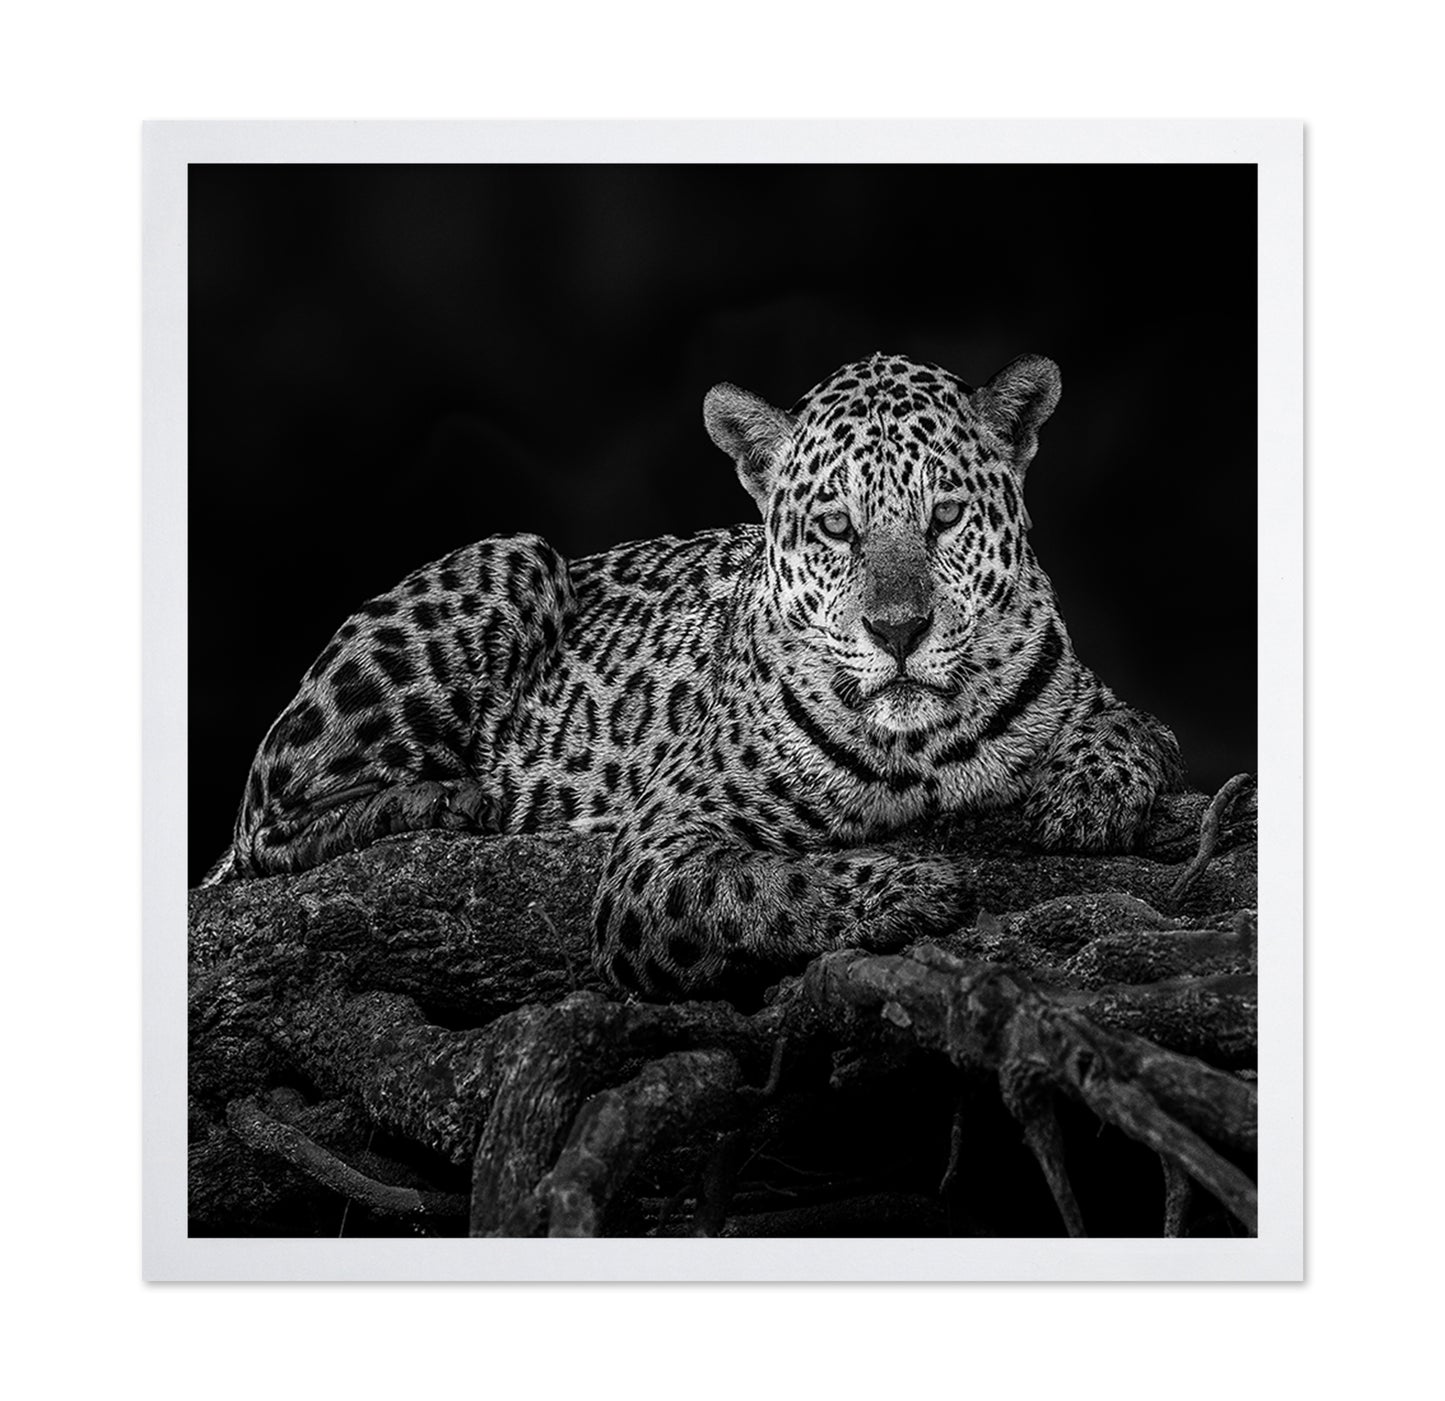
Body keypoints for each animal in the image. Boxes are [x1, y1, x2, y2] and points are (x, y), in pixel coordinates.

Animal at [203, 351, 1183, 1000]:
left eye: (943, 516)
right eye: (836, 527)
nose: (898, 630)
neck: (922, 745)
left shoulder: (1096, 696)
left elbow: (1136, 726)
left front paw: (1086, 794)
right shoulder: (655, 851)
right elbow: (764, 887)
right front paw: (908, 885)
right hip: (514, 554)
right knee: (265, 823)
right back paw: (455, 799)